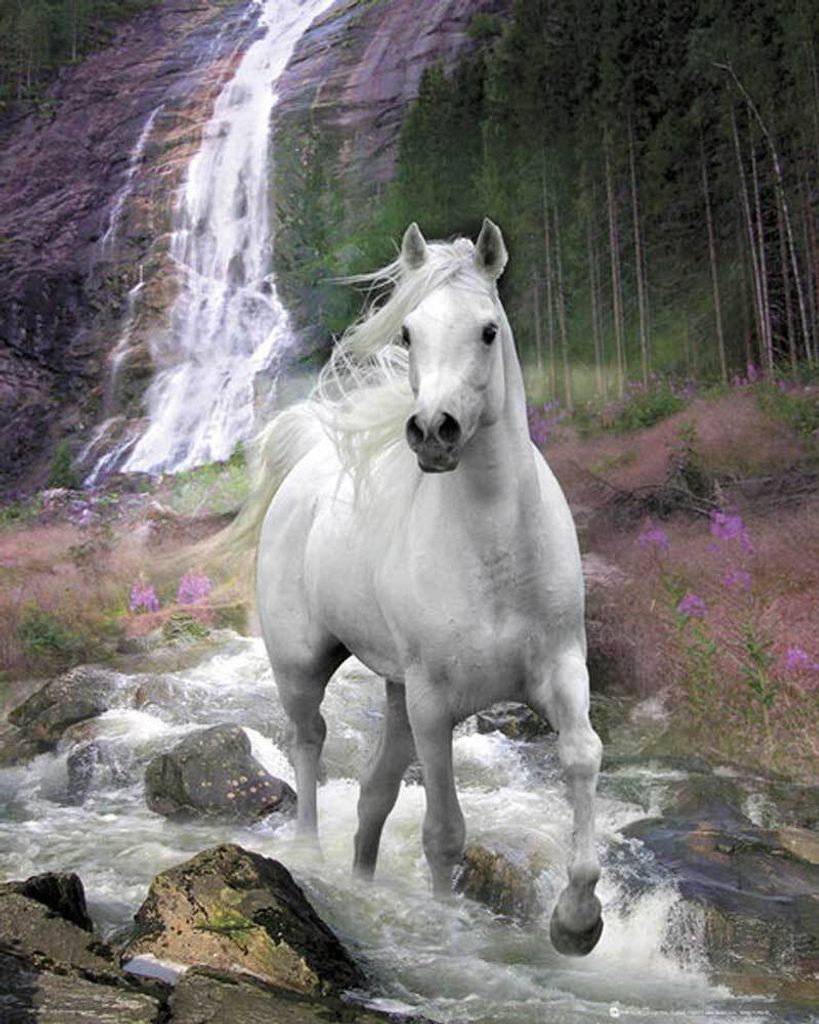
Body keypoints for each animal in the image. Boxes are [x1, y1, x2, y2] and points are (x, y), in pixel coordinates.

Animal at [248, 219, 603, 956]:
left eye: (487, 330)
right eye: (408, 333)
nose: (433, 431)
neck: (493, 552)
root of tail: (306, 462)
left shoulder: (561, 670)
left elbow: (582, 756)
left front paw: (577, 921)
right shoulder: (436, 705)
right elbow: (444, 833)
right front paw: (446, 930)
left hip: (394, 689)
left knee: (374, 793)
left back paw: (360, 877)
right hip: (302, 666)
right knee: (308, 742)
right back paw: (308, 854)